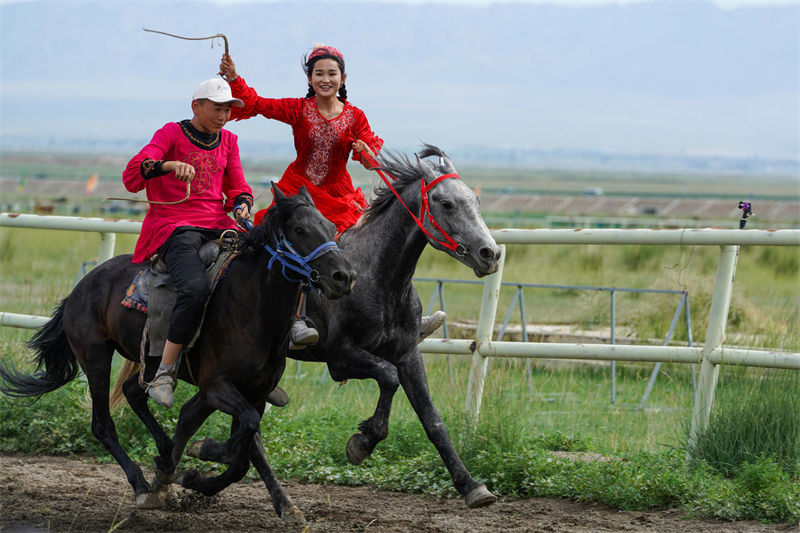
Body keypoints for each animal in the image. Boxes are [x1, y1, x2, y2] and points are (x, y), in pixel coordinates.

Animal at [0, 185, 356, 520]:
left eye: (329, 225)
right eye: (299, 229)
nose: (345, 276)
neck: (251, 305)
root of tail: (81, 288)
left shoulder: (254, 392)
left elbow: (246, 450)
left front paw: (281, 504)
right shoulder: (217, 386)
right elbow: (240, 433)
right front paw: (202, 452)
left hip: (147, 360)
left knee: (134, 392)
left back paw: (164, 454)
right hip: (96, 358)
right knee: (102, 424)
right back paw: (142, 485)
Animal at [189, 145, 500, 508]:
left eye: (475, 200)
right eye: (446, 203)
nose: (490, 253)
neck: (378, 278)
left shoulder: (408, 354)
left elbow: (433, 420)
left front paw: (471, 486)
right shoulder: (340, 357)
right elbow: (387, 377)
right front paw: (362, 443)